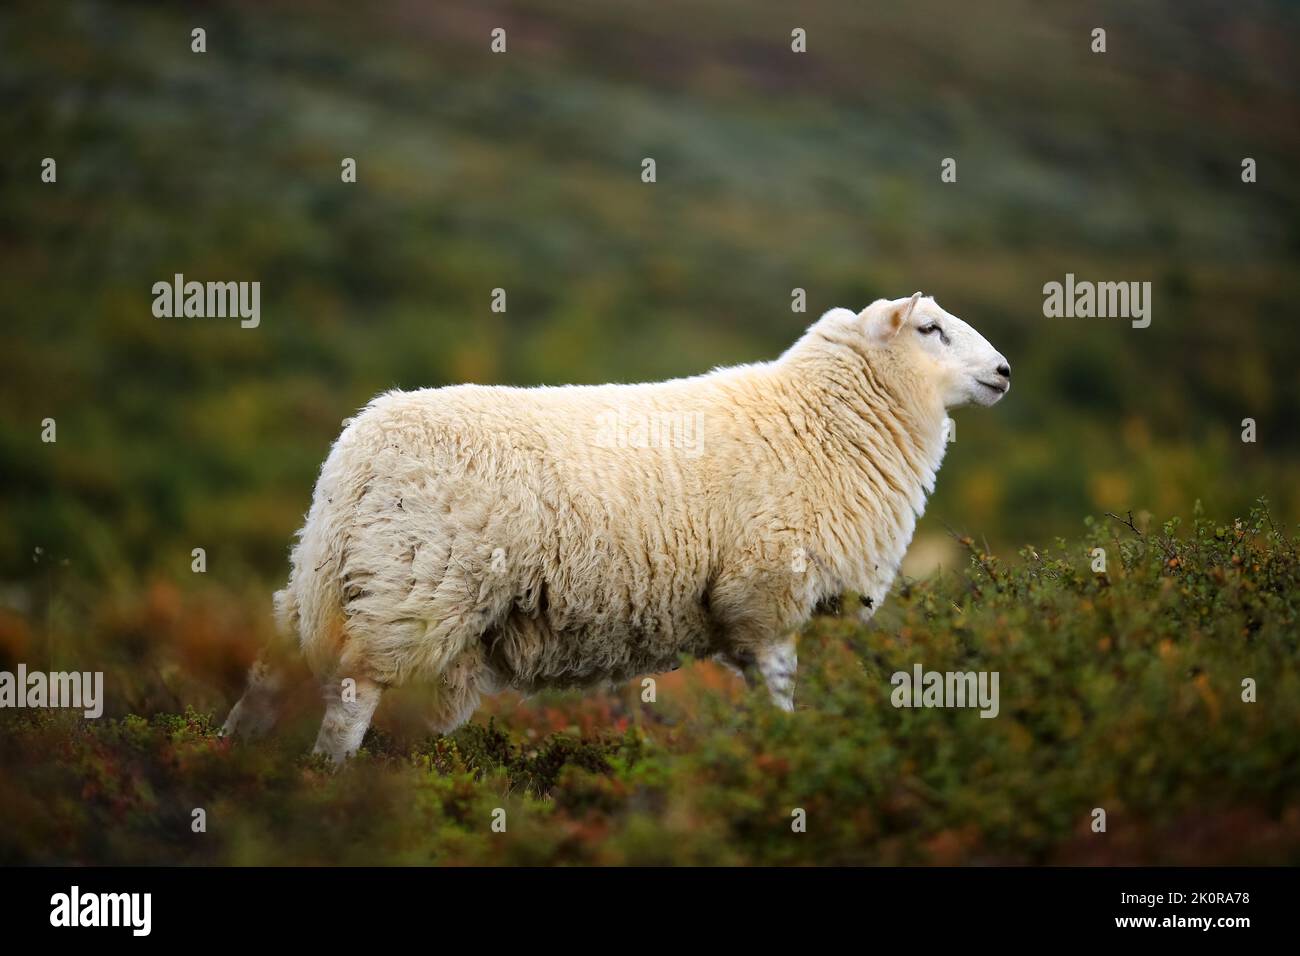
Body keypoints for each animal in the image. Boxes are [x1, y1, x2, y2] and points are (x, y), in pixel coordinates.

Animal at [222, 294, 1011, 761]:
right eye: (931, 329)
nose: (1004, 370)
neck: (816, 419)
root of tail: (357, 445)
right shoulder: (765, 596)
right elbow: (779, 688)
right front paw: (784, 750)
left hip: (337, 575)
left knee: (274, 663)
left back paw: (231, 756)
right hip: (410, 587)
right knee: (352, 696)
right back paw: (327, 780)